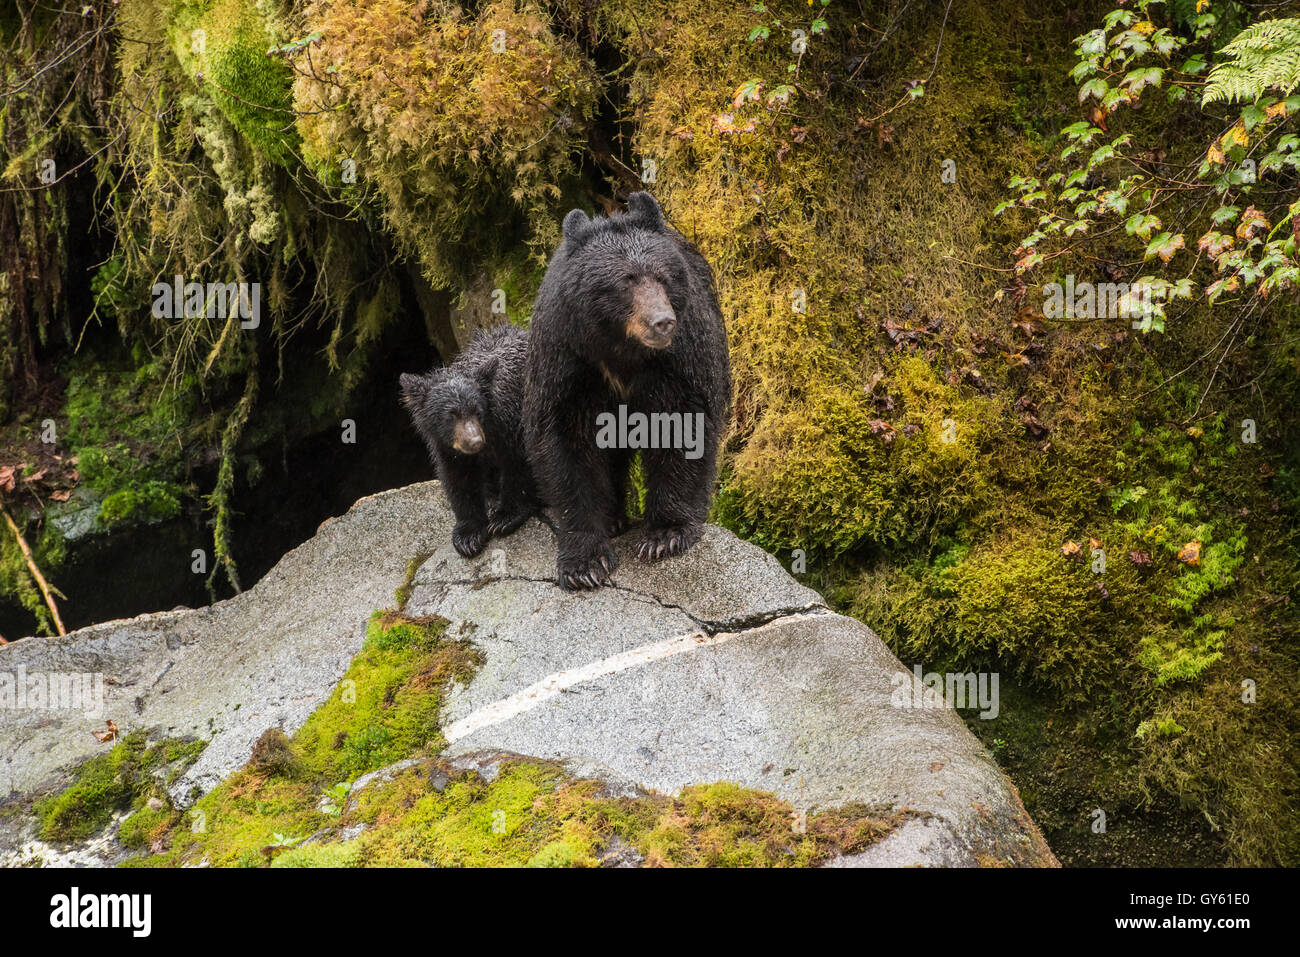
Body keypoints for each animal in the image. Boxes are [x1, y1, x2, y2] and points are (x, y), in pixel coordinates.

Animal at [397, 323, 535, 556]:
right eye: (450, 415)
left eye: (476, 411)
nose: (474, 441)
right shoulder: (446, 447)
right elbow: (458, 479)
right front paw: (468, 535)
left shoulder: (514, 427)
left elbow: (517, 466)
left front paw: (504, 518)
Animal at [525, 191, 733, 587]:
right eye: (626, 281)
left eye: (663, 277)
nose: (662, 322)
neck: (620, 349)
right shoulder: (567, 359)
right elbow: (568, 444)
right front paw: (585, 563)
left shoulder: (679, 358)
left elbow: (680, 424)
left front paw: (664, 535)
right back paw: (613, 517)